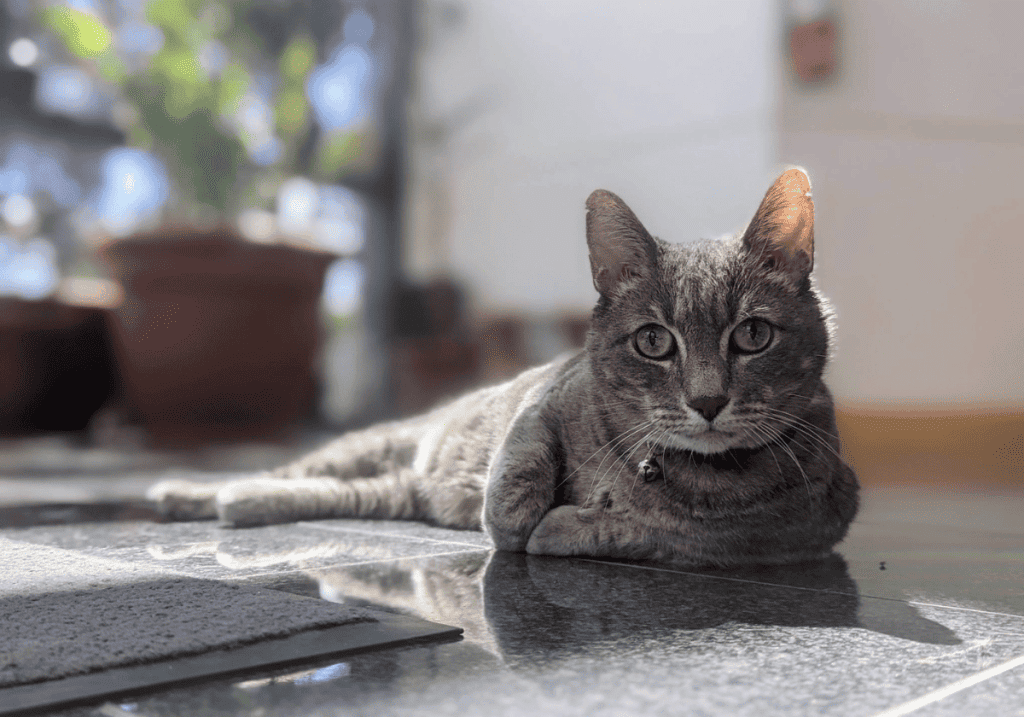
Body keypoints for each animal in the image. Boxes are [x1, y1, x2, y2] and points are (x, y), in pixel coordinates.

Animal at [149, 167, 856, 565]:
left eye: (754, 335)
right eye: (654, 342)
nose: (707, 401)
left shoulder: (799, 527)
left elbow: (674, 535)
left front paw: (570, 526)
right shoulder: (546, 398)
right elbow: (521, 463)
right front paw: (520, 519)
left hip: (380, 490)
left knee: (314, 491)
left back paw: (238, 503)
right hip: (371, 443)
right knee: (288, 469)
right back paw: (183, 491)